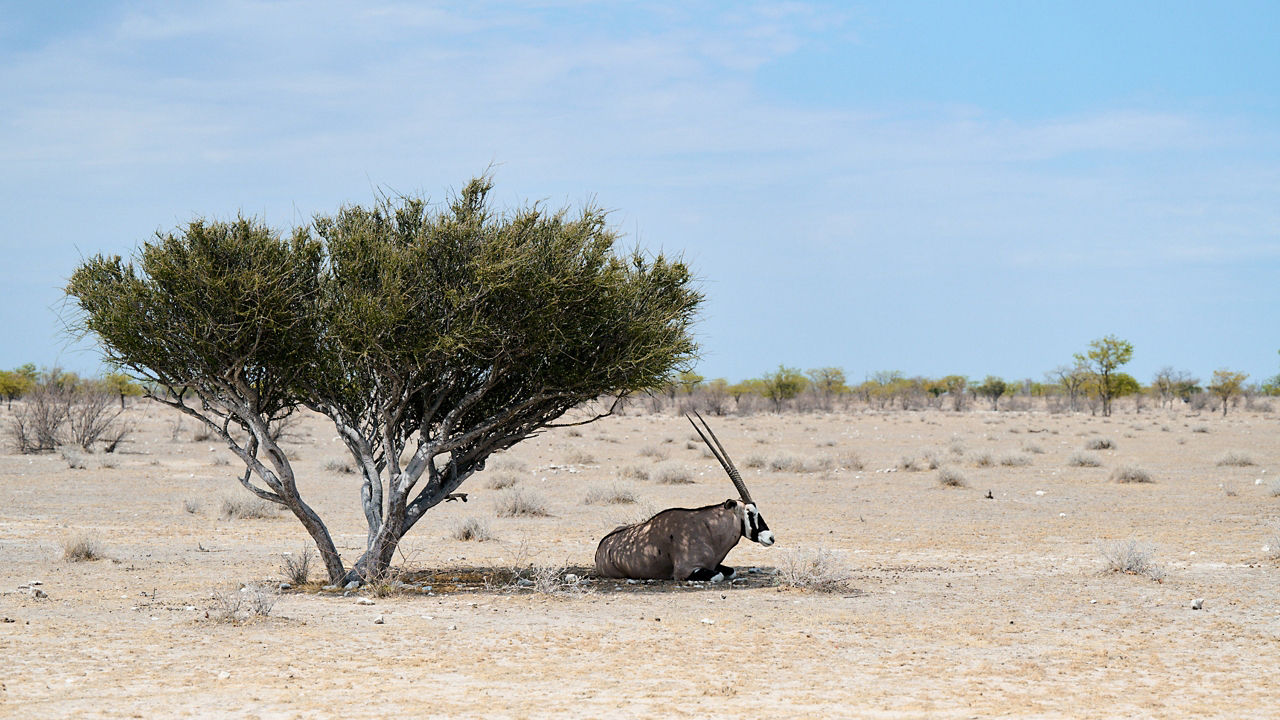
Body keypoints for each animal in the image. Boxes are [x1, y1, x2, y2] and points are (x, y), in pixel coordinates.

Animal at [588, 409, 768, 584]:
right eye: (750, 513)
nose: (770, 537)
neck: (708, 530)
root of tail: (601, 547)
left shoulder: (715, 564)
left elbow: (731, 571)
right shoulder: (686, 571)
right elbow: (718, 576)